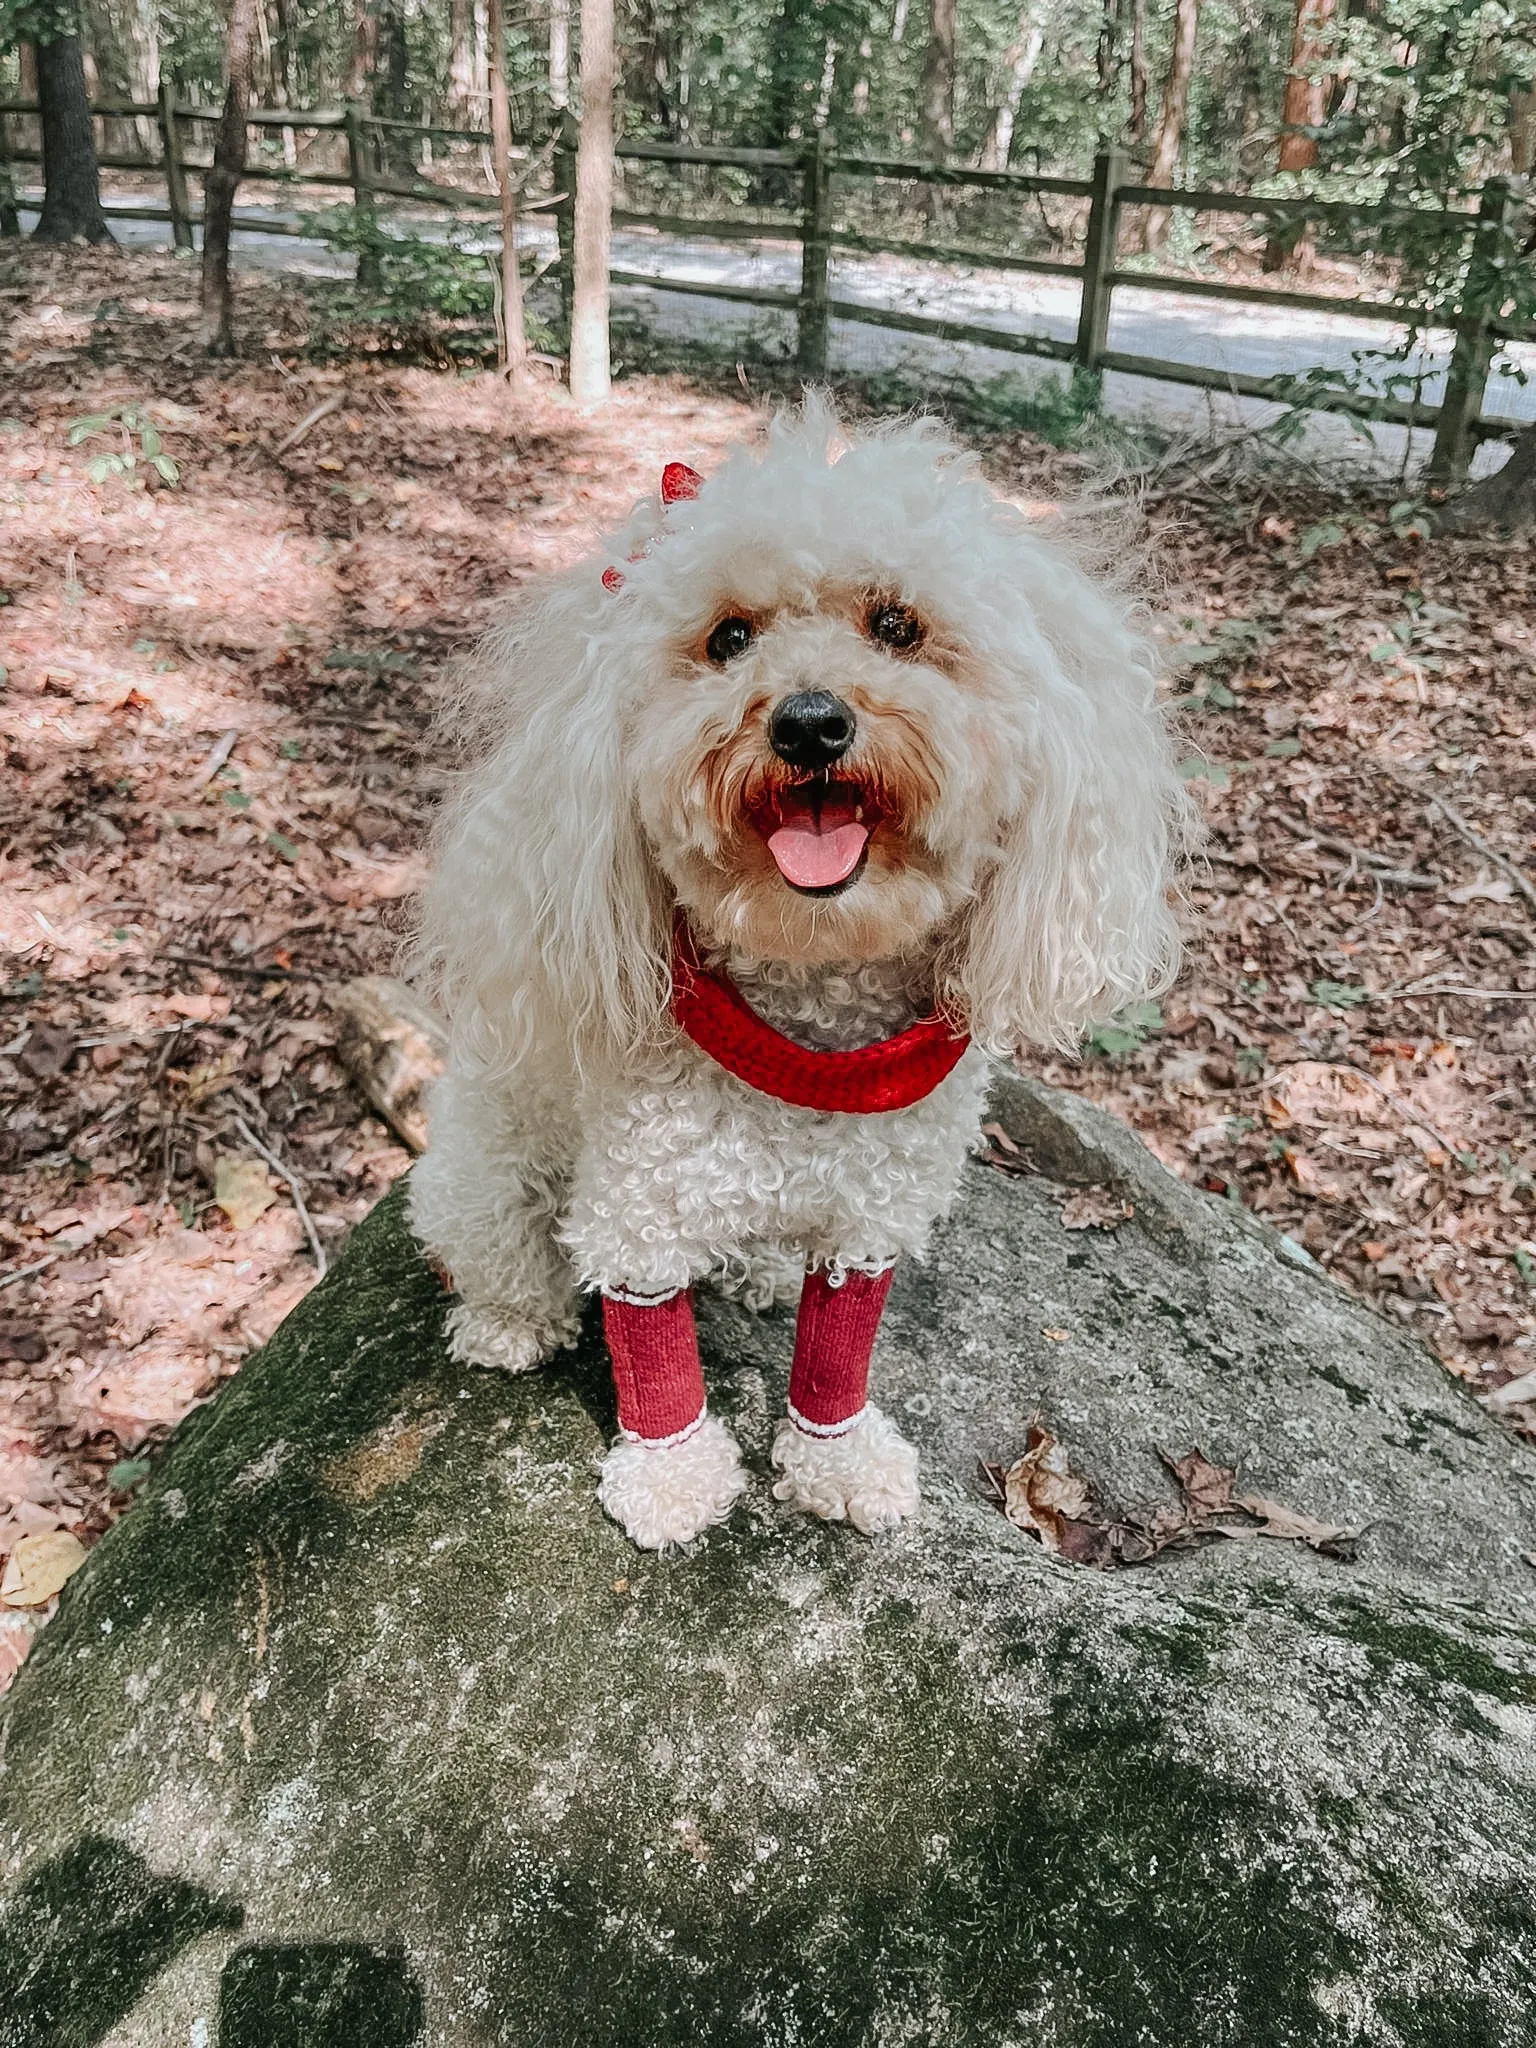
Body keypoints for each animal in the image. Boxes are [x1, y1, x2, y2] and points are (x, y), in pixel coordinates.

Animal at [411, 399, 1187, 1548]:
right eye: (728, 638)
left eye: (897, 624)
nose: (810, 722)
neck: (812, 1013)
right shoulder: (639, 1200)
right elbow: (653, 1346)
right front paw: (674, 1481)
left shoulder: (872, 1212)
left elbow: (839, 1347)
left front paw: (840, 1460)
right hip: (486, 1162)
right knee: (496, 1241)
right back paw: (509, 1319)